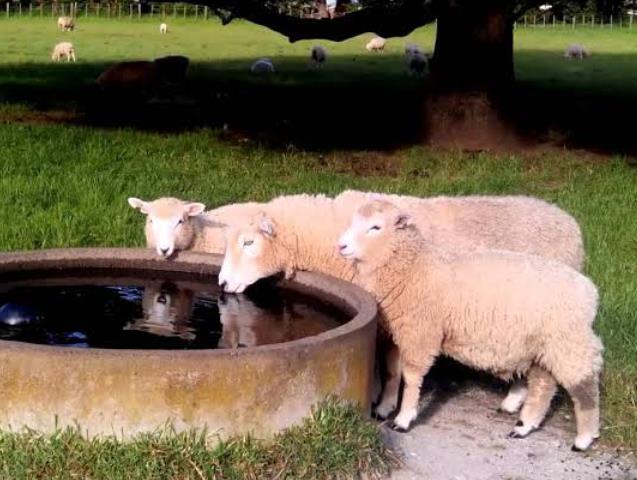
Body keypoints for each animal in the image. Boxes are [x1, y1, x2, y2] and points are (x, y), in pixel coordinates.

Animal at [338, 200, 600, 454]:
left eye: (375, 227)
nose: (341, 246)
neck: (412, 267)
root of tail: (589, 291)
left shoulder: (421, 332)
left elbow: (411, 377)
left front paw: (403, 419)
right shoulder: (397, 331)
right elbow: (392, 371)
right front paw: (384, 407)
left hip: (568, 342)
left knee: (585, 386)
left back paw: (584, 438)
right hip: (542, 347)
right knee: (543, 385)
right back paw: (524, 425)